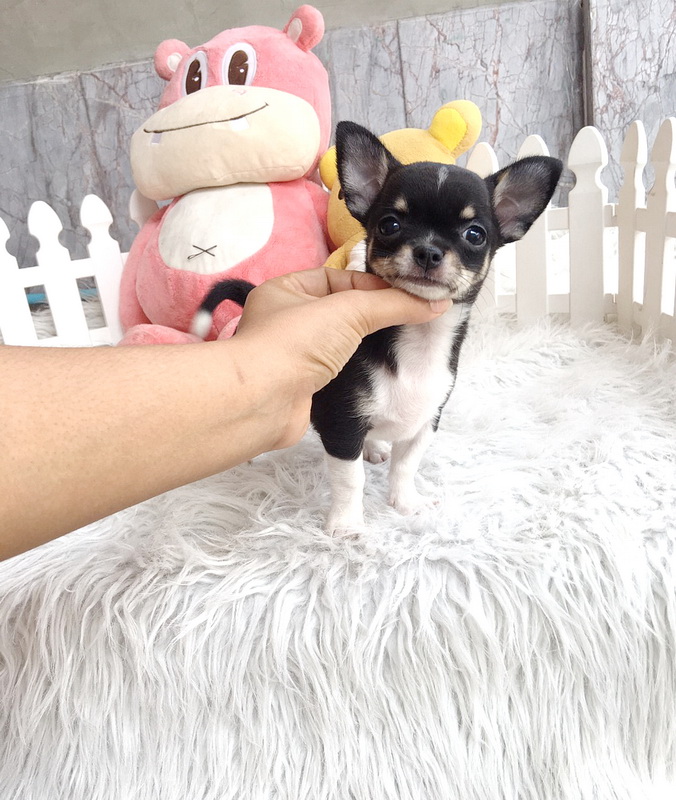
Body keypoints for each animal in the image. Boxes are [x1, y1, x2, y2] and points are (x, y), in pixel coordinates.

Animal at [193, 121, 562, 532]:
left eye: (475, 235)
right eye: (390, 225)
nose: (428, 251)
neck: (420, 342)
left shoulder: (425, 421)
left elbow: (406, 467)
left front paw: (405, 504)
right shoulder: (341, 425)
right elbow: (350, 479)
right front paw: (346, 525)